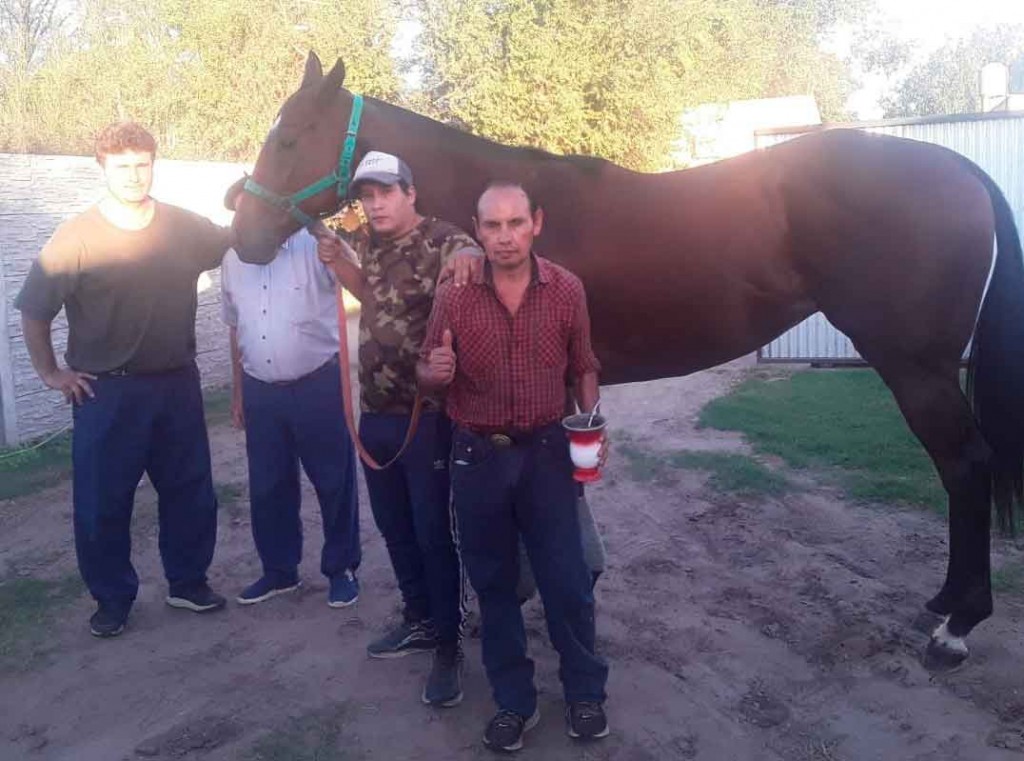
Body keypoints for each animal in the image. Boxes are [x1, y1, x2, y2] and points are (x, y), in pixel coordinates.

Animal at [232, 51, 1024, 667]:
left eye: (291, 137)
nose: (243, 236)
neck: (507, 218)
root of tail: (958, 170)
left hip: (916, 367)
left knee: (966, 466)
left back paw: (957, 627)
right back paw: (944, 602)